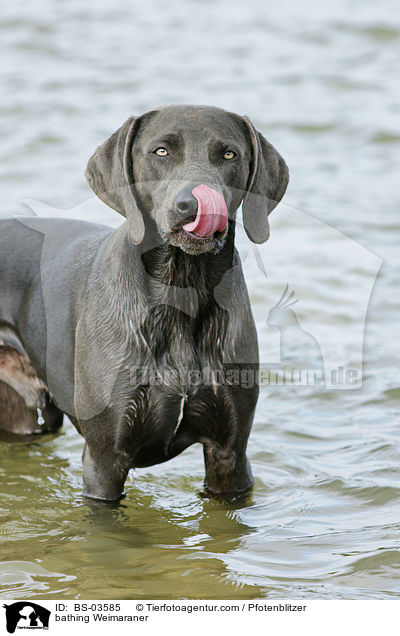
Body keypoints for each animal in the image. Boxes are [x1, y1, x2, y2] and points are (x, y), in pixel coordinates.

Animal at [0, 105, 288, 502]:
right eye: (161, 151)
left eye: (229, 154)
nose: (192, 204)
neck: (181, 288)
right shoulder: (105, 458)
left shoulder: (230, 453)